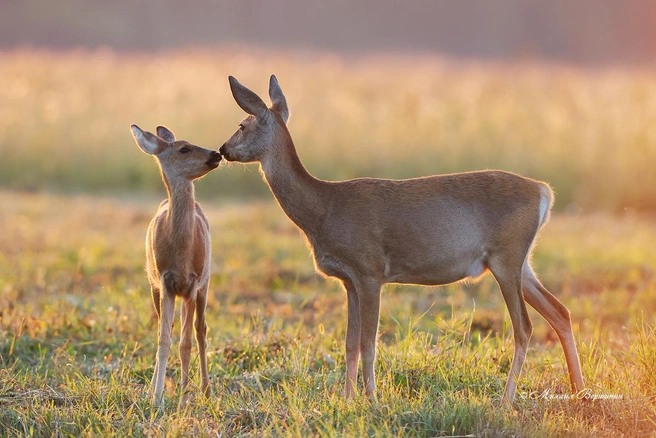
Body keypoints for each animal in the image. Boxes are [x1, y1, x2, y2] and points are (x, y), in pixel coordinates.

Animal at [129, 124, 222, 410]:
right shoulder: (165, 282)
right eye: (184, 149)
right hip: (154, 288)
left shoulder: (192, 283)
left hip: (205, 284)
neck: (180, 251)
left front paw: (183, 398)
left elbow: (186, 343)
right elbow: (164, 340)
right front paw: (156, 398)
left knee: (201, 331)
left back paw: (206, 391)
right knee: (167, 328)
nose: (216, 153)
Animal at [218, 76, 580, 404]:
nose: (222, 150)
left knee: (525, 327)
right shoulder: (348, 281)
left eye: (242, 124)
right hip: (520, 262)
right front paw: (347, 399)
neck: (323, 209)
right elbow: (349, 343)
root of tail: (544, 192)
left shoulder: (369, 270)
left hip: (507, 256)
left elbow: (369, 343)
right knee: (560, 311)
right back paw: (578, 389)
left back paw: (506, 401)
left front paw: (371, 400)